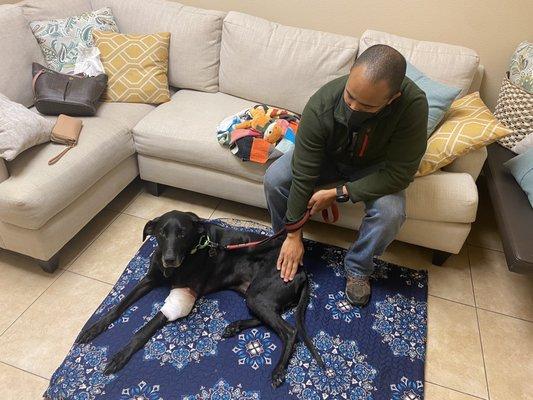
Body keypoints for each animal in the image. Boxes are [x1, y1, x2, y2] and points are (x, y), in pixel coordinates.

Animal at [76, 211, 322, 386]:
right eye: (161, 233)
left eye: (182, 233)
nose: (169, 259)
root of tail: (302, 269)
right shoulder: (148, 279)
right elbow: (118, 306)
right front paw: (93, 328)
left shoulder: (184, 294)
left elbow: (145, 328)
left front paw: (121, 355)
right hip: (253, 295)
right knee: (269, 318)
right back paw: (234, 326)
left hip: (258, 295)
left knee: (289, 330)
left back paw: (278, 371)